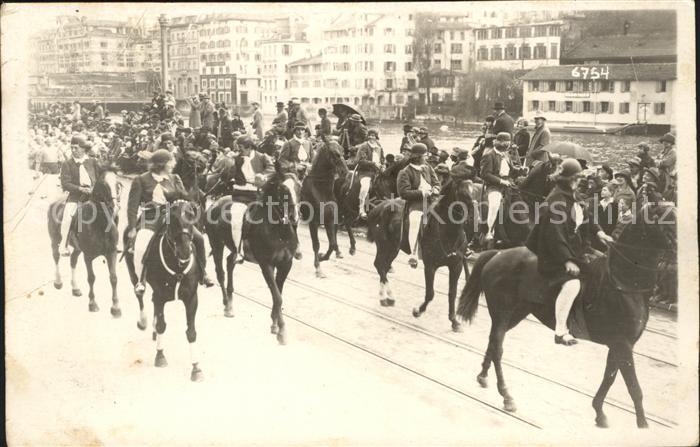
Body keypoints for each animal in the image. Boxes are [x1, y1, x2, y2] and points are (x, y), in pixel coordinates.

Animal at [47, 166, 123, 316]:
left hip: (77, 248)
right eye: (103, 185)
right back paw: (58, 281)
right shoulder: (88, 256)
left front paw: (116, 307)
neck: (100, 224)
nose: (115, 206)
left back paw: (75, 288)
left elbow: (113, 278)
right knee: (56, 256)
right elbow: (91, 278)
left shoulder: (111, 253)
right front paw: (92, 304)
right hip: (55, 240)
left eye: (117, 184)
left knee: (73, 261)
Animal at [204, 166, 300, 344]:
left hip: (234, 248)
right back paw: (227, 305)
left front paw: (274, 324)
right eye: (283, 189)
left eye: (299, 186)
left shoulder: (285, 264)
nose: (294, 216)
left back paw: (230, 301)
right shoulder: (266, 265)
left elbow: (278, 294)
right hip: (217, 243)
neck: (279, 231)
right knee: (220, 272)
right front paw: (282, 331)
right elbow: (278, 297)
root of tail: (214, 203)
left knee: (230, 262)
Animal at [300, 138, 350, 278]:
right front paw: (318, 268)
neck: (320, 189)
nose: (345, 172)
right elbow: (316, 244)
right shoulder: (313, 222)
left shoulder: (329, 220)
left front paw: (323, 257)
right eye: (334, 153)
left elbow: (332, 244)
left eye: (343, 151)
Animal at [366, 178, 476, 332]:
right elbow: (430, 293)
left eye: (475, 191)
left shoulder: (456, 266)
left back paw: (386, 297)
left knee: (383, 266)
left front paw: (454, 321)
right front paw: (418, 311)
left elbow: (452, 294)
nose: (474, 217)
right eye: (463, 193)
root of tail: (379, 207)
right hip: (386, 246)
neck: (447, 231)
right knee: (380, 265)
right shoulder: (430, 266)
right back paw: (387, 297)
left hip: (393, 248)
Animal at [456, 202, 676, 428]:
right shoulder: (622, 344)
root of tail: (498, 254)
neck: (624, 284)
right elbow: (634, 387)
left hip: (515, 314)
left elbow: (610, 377)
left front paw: (599, 412)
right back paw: (507, 396)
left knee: (493, 342)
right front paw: (643, 425)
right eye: (669, 220)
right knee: (498, 348)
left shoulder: (621, 345)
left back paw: (483, 376)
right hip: (503, 313)